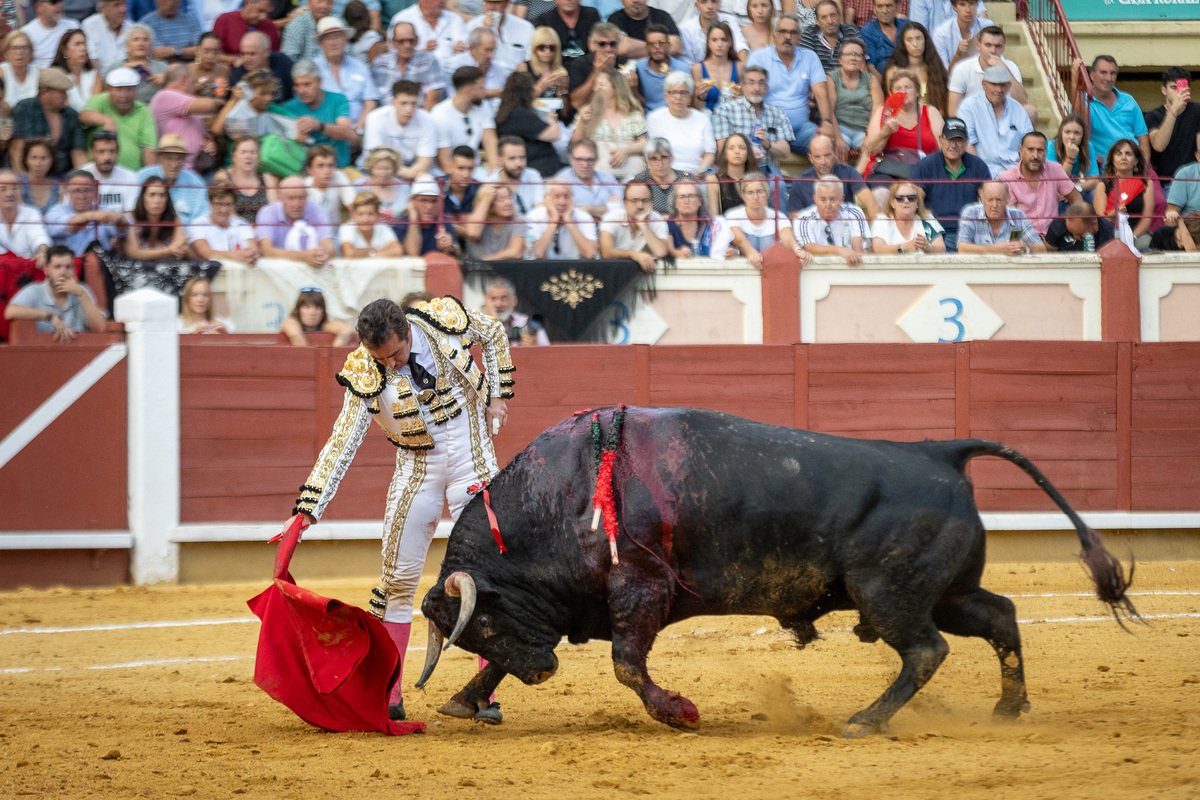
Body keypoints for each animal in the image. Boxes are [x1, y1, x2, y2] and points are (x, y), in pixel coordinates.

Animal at [417, 410, 1137, 734]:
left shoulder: (640, 586)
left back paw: (864, 720)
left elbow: (626, 663)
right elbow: (510, 665)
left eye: (483, 619)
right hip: (945, 592)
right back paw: (1007, 708)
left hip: (888, 595)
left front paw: (679, 712)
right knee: (1000, 617)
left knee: (926, 650)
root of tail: (940, 452)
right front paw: (463, 701)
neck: (558, 499)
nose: (545, 673)